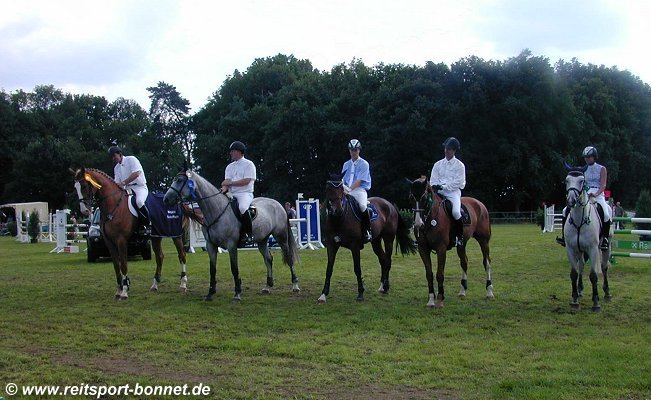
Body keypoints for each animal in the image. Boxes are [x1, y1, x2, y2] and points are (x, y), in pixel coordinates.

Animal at [71, 166, 195, 300]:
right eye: (75, 187)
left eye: (84, 186)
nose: (84, 210)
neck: (113, 205)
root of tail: (178, 202)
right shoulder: (109, 242)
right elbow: (116, 265)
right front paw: (119, 290)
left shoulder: (121, 240)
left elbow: (124, 264)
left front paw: (124, 291)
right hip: (156, 236)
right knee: (160, 257)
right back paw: (155, 285)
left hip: (175, 235)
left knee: (182, 255)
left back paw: (183, 284)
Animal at [163, 167, 300, 302]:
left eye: (180, 180)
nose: (166, 199)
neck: (216, 210)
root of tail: (277, 204)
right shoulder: (211, 245)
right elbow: (212, 269)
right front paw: (210, 293)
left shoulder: (231, 245)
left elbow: (234, 268)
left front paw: (237, 294)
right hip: (262, 240)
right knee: (268, 259)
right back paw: (267, 286)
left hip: (281, 237)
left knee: (289, 258)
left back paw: (295, 286)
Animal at [320, 173, 418, 304]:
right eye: (328, 189)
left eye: (341, 189)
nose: (337, 210)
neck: (339, 219)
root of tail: (390, 204)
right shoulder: (331, 245)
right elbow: (329, 269)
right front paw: (323, 294)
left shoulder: (355, 247)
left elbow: (357, 269)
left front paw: (360, 293)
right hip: (376, 241)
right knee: (383, 260)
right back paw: (382, 286)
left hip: (388, 239)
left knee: (388, 260)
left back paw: (386, 287)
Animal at [408, 177, 494, 308]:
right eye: (411, 198)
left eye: (424, 198)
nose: (418, 224)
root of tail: (480, 204)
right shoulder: (423, 249)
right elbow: (429, 274)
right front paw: (431, 300)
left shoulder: (441, 248)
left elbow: (439, 274)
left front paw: (440, 299)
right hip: (462, 244)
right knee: (464, 262)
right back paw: (462, 291)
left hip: (484, 241)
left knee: (487, 262)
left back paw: (489, 292)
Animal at [564, 164, 612, 310]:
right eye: (567, 180)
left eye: (581, 181)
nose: (571, 201)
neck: (580, 220)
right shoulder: (571, 249)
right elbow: (574, 273)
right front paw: (574, 299)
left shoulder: (593, 249)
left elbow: (593, 275)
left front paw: (595, 302)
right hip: (580, 250)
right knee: (580, 266)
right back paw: (579, 290)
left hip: (606, 247)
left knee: (604, 267)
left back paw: (607, 292)